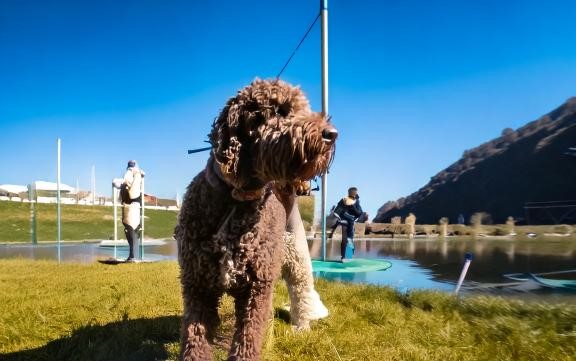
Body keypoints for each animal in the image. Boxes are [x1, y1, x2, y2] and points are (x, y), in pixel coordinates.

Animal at [176, 78, 338, 358]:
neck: (236, 200)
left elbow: (247, 338)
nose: (332, 133)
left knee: (302, 292)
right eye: (281, 110)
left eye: (304, 109)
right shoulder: (198, 285)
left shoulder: (256, 289)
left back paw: (301, 327)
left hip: (296, 256)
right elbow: (195, 337)